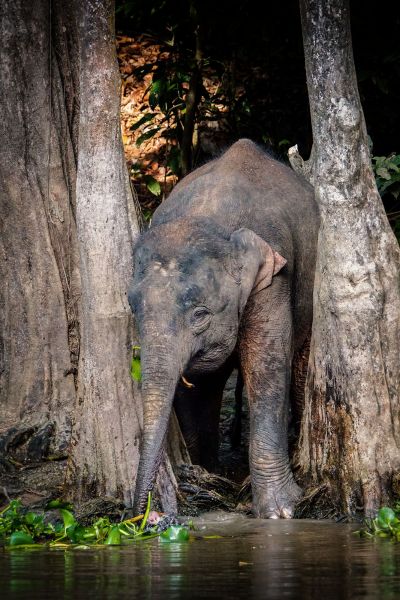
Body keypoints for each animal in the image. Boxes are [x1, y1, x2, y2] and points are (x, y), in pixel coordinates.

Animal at [130, 138, 320, 516]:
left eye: (200, 315)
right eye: (133, 307)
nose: (144, 515)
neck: (207, 214)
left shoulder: (274, 276)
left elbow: (267, 367)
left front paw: (281, 511)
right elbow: (191, 387)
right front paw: (207, 478)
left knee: (301, 363)